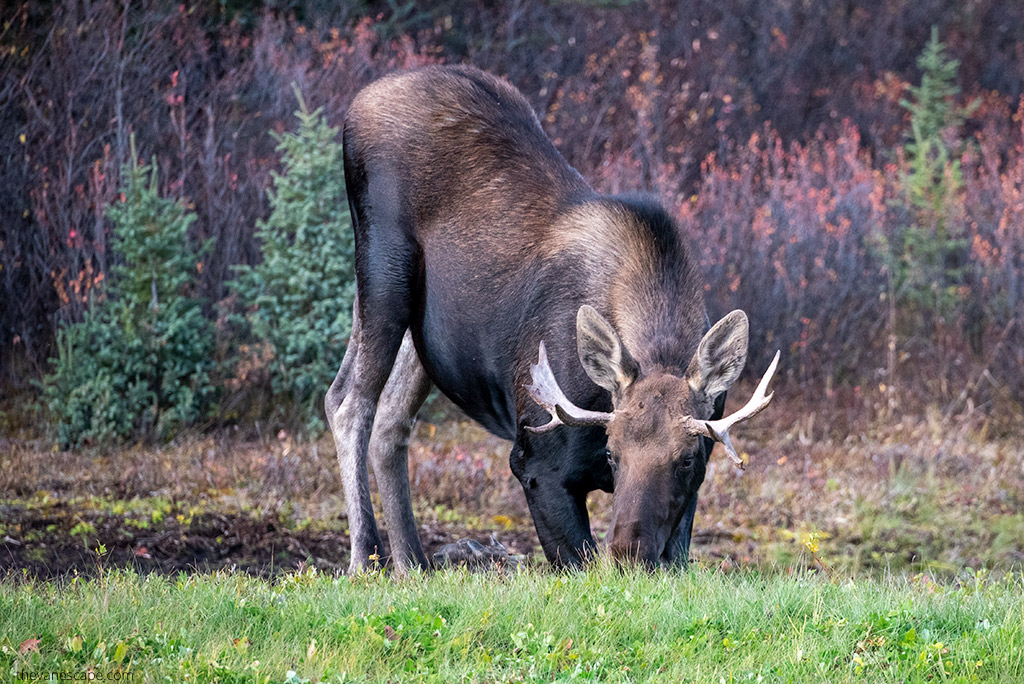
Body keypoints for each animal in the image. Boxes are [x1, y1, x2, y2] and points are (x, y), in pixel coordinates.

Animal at [325, 66, 774, 573]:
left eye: (686, 459)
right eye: (613, 453)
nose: (629, 551)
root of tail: (360, 101)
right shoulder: (536, 462)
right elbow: (575, 560)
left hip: (423, 335)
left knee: (390, 419)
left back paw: (412, 563)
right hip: (382, 272)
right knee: (348, 402)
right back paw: (366, 558)